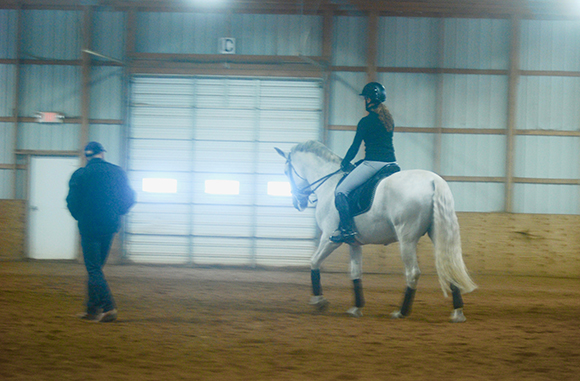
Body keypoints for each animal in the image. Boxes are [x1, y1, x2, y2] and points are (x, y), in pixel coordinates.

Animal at [276, 141, 476, 322]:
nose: (298, 203)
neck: (329, 183)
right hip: (436, 233)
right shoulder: (354, 243)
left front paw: (319, 301)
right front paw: (356, 308)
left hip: (407, 239)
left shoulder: (329, 238)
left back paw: (401, 312)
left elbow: (314, 261)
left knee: (412, 272)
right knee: (448, 264)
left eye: (286, 172)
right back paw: (457, 313)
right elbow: (355, 273)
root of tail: (433, 180)